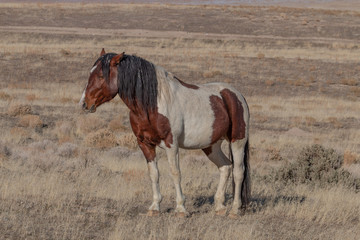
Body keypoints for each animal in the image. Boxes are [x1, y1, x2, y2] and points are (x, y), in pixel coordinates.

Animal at [79, 48, 250, 218]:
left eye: (101, 76)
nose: (84, 104)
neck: (152, 104)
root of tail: (236, 95)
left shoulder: (171, 144)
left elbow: (175, 173)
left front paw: (181, 208)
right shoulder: (145, 144)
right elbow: (154, 173)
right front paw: (155, 207)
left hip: (237, 141)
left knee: (238, 172)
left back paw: (234, 209)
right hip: (211, 146)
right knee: (225, 167)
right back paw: (220, 206)